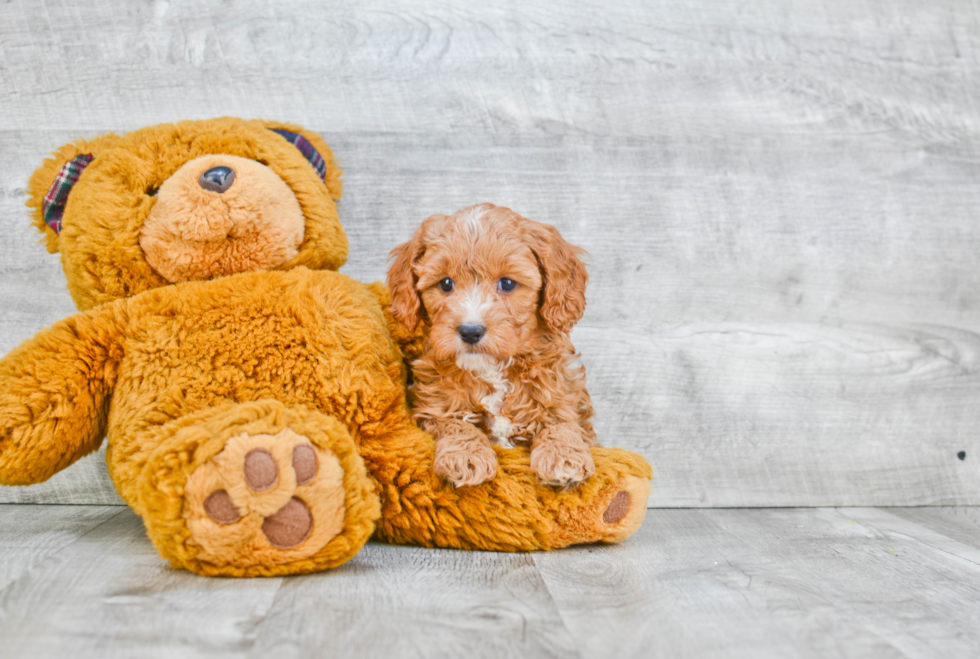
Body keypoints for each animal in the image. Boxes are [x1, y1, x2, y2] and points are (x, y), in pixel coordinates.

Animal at [384, 204, 596, 488]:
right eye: (446, 283)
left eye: (507, 283)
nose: (470, 331)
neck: (492, 369)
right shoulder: (434, 407)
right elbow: (455, 423)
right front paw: (465, 456)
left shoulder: (563, 394)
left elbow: (561, 422)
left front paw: (563, 457)